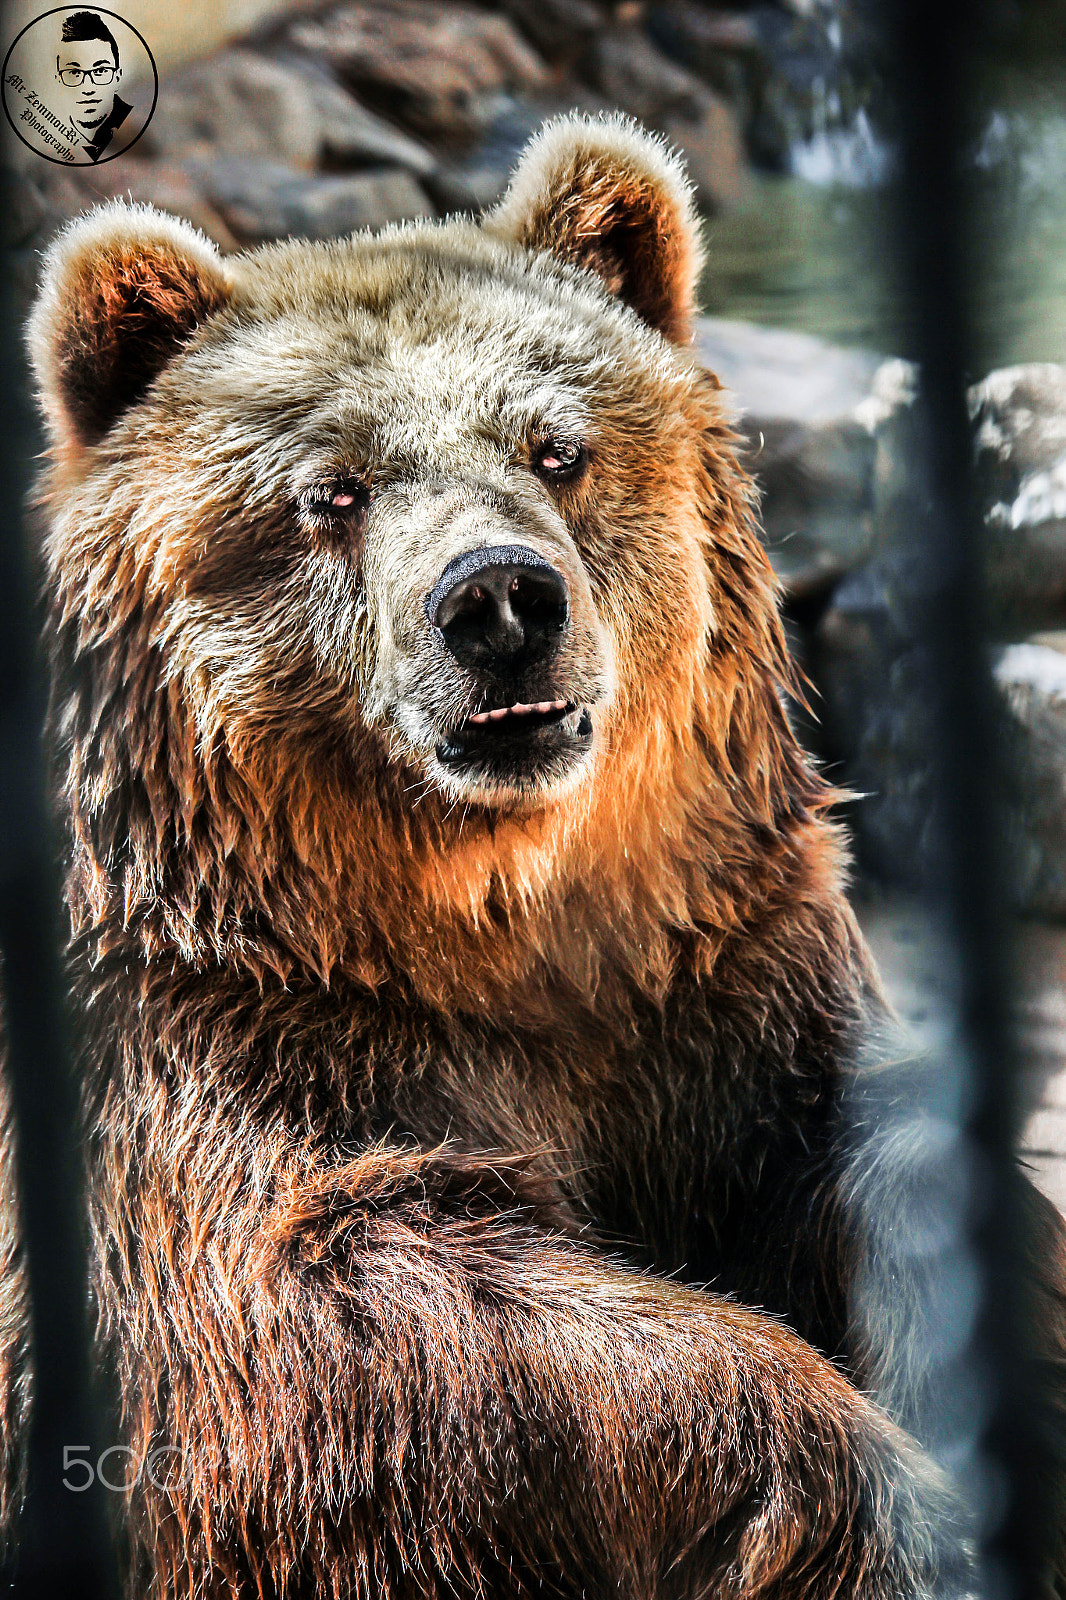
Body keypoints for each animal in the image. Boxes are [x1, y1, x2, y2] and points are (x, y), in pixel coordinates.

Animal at [21, 111, 1065, 1596]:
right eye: (331, 491)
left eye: (557, 446)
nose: (499, 598)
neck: (487, 919)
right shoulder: (215, 1045)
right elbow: (347, 1311)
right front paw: (886, 1511)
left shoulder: (717, 974)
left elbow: (872, 1144)